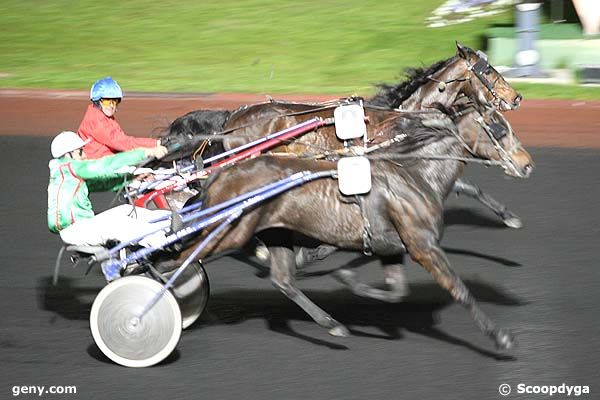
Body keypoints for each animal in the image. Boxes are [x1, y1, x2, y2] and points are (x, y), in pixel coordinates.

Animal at [162, 108, 532, 348]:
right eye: (499, 128)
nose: (527, 164)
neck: (414, 174)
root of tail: (221, 174)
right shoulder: (423, 246)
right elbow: (460, 290)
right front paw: (500, 337)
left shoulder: (393, 248)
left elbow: (397, 292)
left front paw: (349, 279)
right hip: (229, 232)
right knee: (175, 260)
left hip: (274, 230)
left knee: (283, 281)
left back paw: (332, 325)